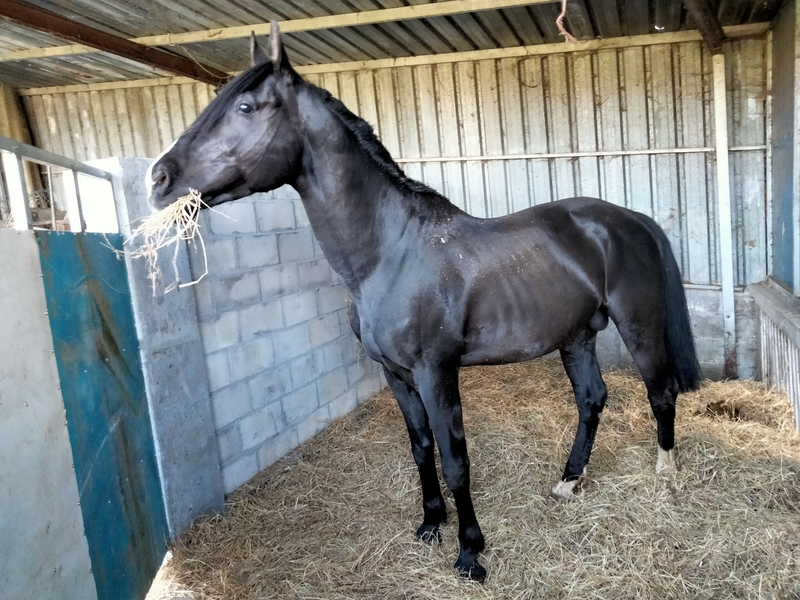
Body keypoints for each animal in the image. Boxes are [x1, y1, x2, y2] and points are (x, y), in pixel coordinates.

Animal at [147, 22, 701, 582]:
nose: (159, 178)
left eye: (245, 107)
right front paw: (431, 524)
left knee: (661, 392)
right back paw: (568, 482)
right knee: (592, 400)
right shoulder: (396, 375)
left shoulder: (437, 373)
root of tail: (631, 219)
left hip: (638, 326)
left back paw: (666, 472)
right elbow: (421, 448)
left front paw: (470, 553)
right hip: (577, 335)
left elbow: (455, 460)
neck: (389, 254)